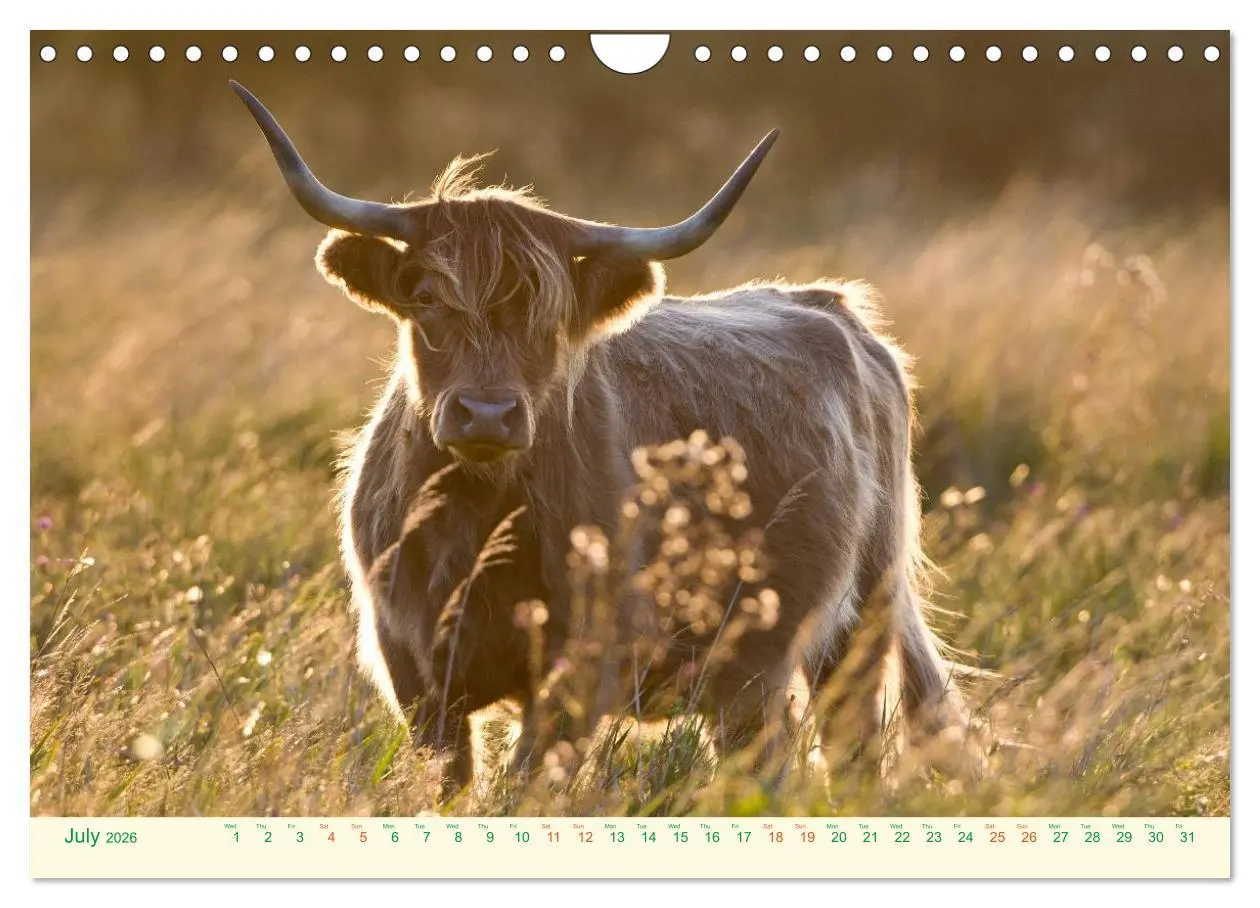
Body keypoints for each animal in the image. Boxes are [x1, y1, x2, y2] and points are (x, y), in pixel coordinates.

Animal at [231, 82, 972, 799]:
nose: (486, 415)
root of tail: (833, 307)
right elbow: (451, 786)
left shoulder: (583, 665)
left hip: (857, 622)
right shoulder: (413, 666)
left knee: (850, 751)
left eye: (553, 315)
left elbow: (526, 785)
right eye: (427, 299)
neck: (480, 520)